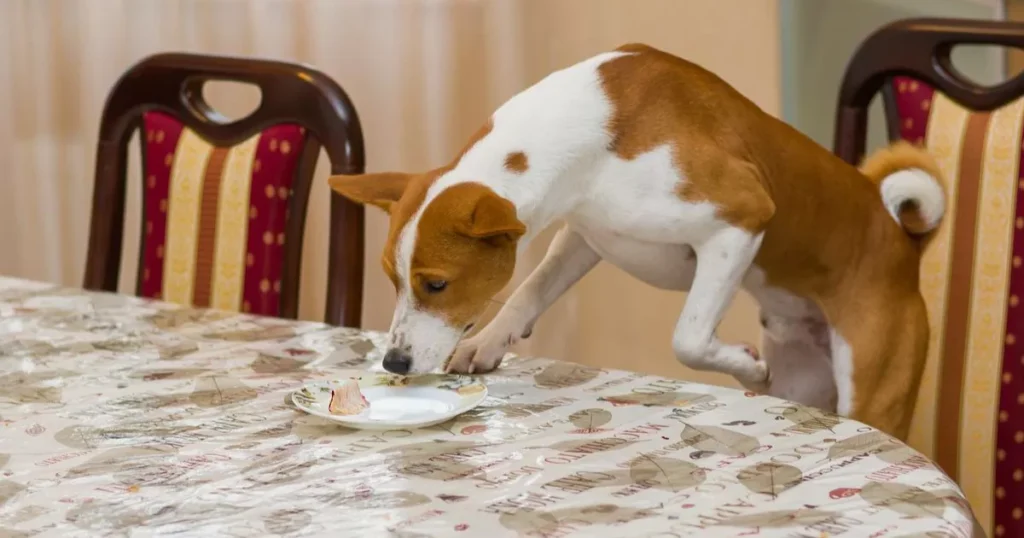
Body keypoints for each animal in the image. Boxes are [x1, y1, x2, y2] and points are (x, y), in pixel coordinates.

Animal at [327, 43, 942, 440]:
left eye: (436, 284)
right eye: (393, 279)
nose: (395, 361)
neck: (595, 130)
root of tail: (904, 245)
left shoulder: (739, 219)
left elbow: (688, 338)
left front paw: (742, 366)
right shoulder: (586, 234)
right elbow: (529, 290)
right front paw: (489, 341)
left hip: (871, 388)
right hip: (806, 380)